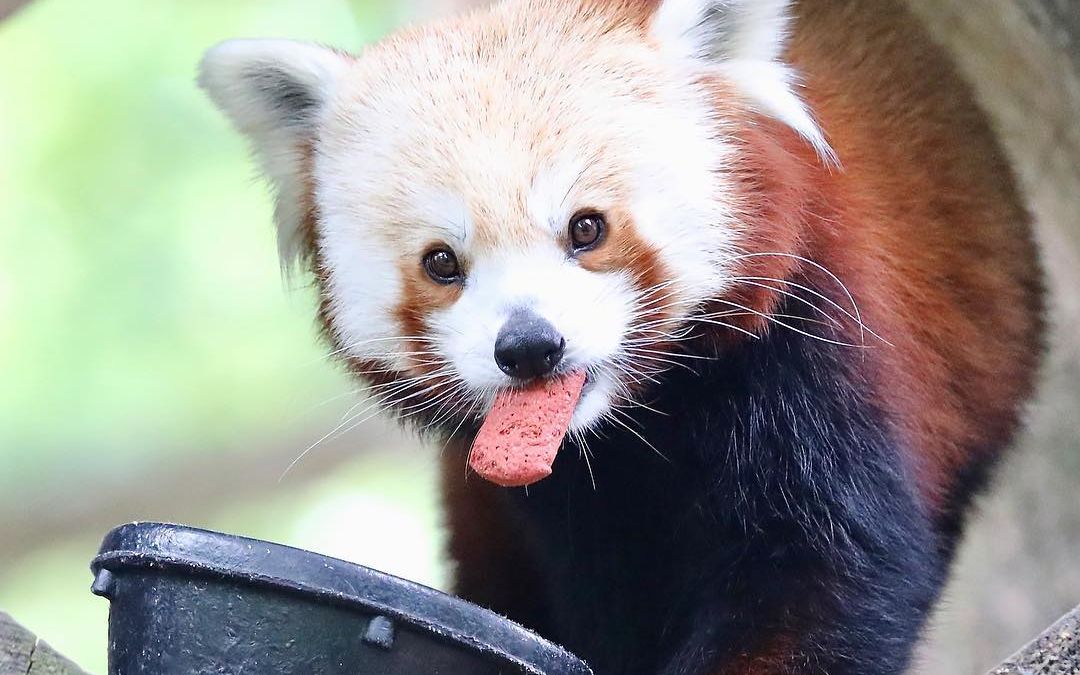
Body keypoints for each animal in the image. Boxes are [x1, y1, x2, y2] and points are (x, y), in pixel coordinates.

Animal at [198, 0, 1041, 669]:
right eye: (442, 262)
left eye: (587, 228)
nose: (529, 346)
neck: (631, 431)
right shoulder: (559, 509)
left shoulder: (814, 348)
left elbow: (824, 571)